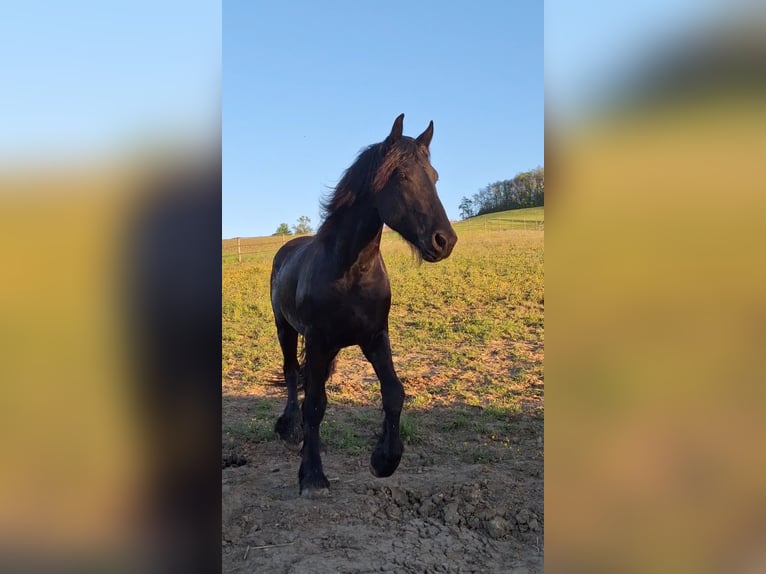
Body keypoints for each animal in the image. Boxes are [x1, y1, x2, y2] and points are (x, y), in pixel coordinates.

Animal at [272, 115, 460, 498]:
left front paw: (384, 460)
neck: (351, 270)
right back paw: (290, 429)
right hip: (286, 329)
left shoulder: (375, 337)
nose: (444, 240)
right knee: (291, 374)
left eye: (434, 177)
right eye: (401, 176)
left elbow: (394, 393)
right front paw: (312, 476)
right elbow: (314, 404)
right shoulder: (317, 341)